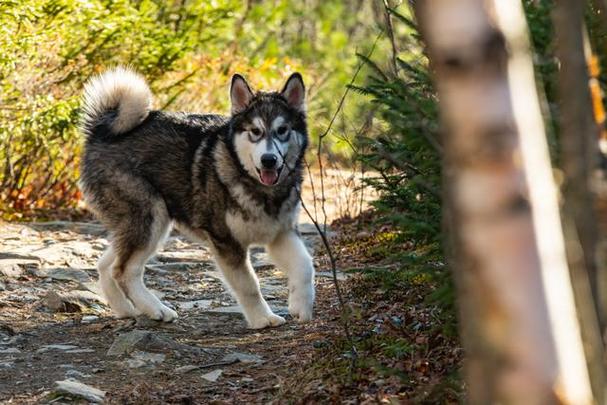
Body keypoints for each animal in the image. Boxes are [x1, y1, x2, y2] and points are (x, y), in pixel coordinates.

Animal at [79, 66, 314, 328]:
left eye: (282, 131)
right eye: (256, 131)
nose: (269, 160)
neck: (259, 187)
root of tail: (100, 133)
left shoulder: (281, 233)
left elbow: (305, 266)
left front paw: (301, 306)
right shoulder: (226, 242)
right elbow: (249, 285)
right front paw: (261, 318)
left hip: (141, 225)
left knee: (107, 264)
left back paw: (125, 309)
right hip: (151, 217)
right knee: (124, 271)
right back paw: (156, 309)